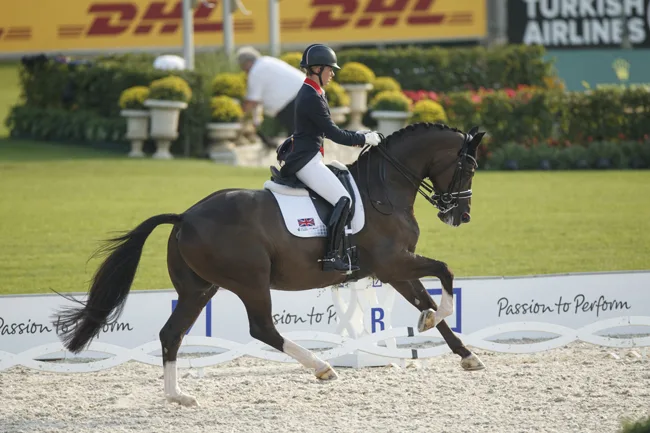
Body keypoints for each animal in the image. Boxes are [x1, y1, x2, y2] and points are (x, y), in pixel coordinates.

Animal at [53, 120, 484, 404]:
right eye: (470, 167)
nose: (460, 216)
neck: (384, 190)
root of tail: (186, 217)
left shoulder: (394, 269)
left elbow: (427, 300)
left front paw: (466, 354)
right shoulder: (394, 263)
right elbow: (444, 273)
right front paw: (435, 321)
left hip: (198, 288)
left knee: (171, 334)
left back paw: (178, 396)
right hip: (251, 282)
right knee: (262, 328)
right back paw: (321, 367)